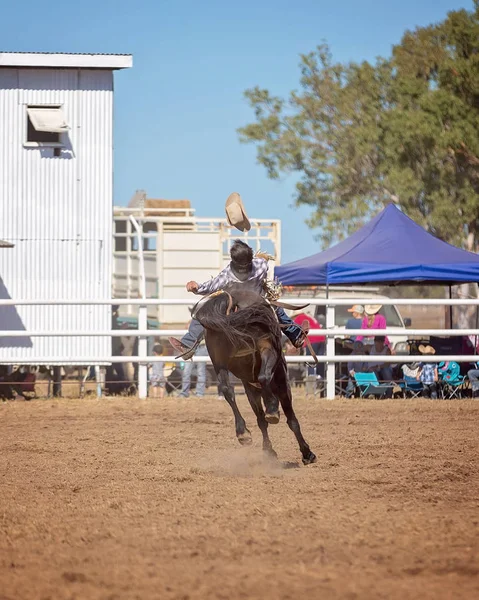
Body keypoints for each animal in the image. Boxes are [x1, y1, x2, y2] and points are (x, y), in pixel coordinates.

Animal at [195, 282, 318, 464]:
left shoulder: (250, 389)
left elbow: (261, 420)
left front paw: (269, 450)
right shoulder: (283, 385)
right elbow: (291, 420)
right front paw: (307, 453)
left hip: (219, 362)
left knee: (227, 390)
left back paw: (243, 433)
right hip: (266, 349)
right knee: (263, 377)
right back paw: (272, 410)